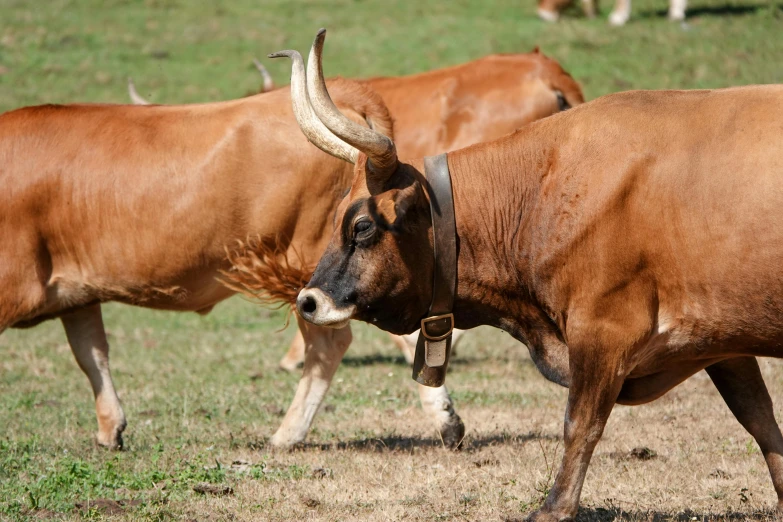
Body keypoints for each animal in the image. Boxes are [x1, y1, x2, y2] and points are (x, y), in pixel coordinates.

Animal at [278, 30, 783, 516]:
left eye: (362, 226)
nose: (309, 301)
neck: (544, 187)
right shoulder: (723, 341)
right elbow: (761, 422)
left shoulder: (603, 331)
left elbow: (581, 424)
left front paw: (555, 507)